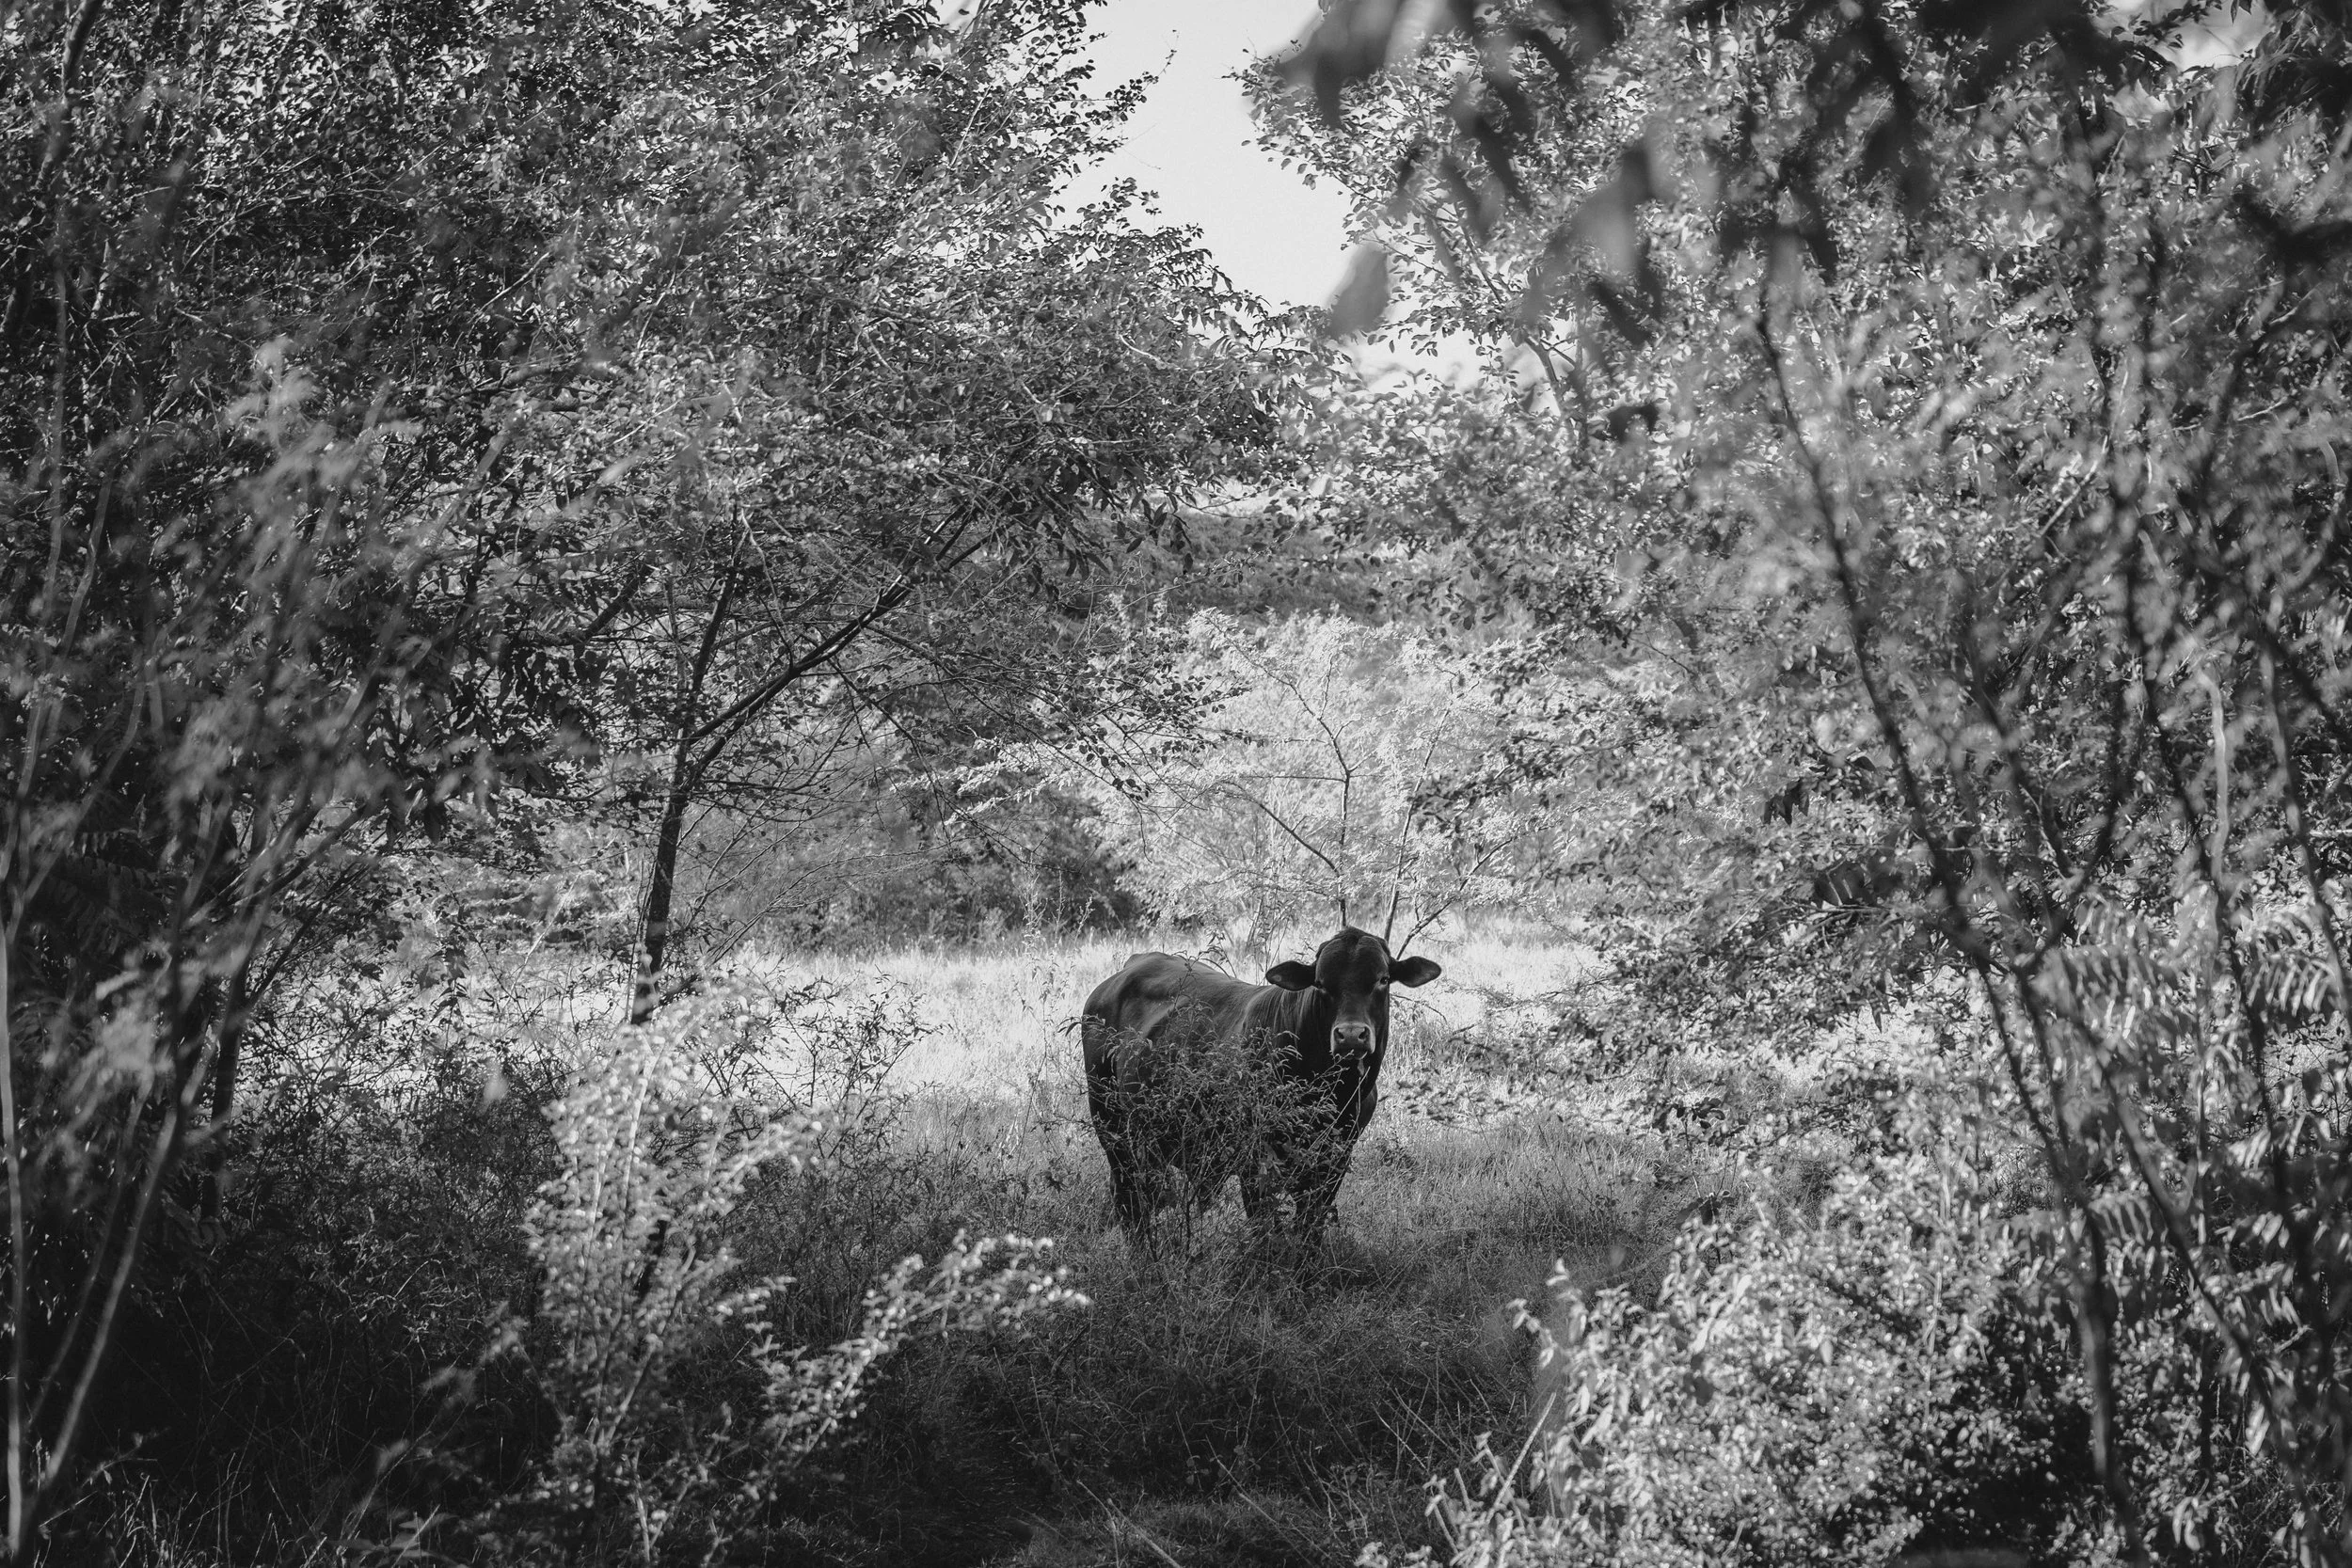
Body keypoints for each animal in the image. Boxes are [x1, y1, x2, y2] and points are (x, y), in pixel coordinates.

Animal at [1080, 926, 1441, 1245]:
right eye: (1321, 984)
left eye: (1382, 979)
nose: (1351, 1035)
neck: (1331, 1092)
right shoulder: (1254, 1164)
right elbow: (1265, 1231)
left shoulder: (1335, 1162)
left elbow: (1309, 1230)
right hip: (1111, 1126)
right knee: (1129, 1199)